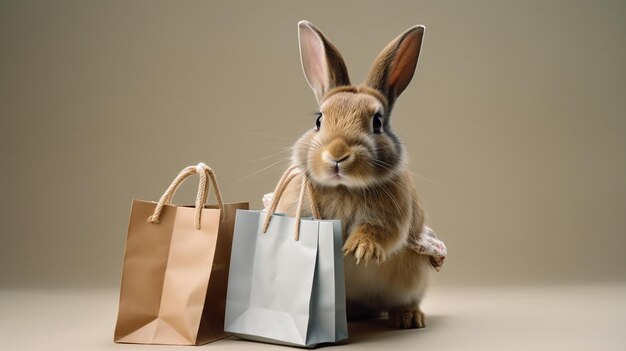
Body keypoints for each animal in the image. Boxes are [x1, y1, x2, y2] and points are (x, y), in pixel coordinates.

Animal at [276, 21, 432, 330]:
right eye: (319, 120)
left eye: (377, 122)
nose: (337, 154)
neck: (344, 187)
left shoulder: (390, 217)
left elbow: (380, 231)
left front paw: (360, 251)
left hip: (414, 277)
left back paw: (408, 317)